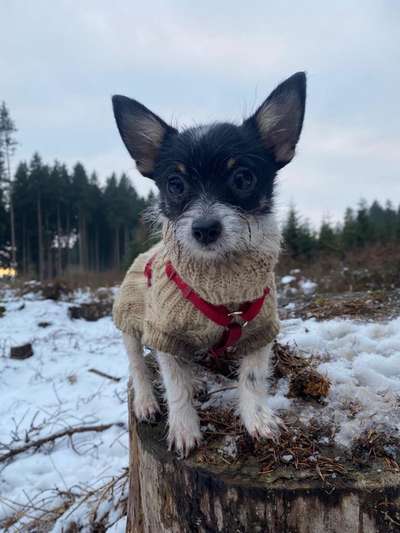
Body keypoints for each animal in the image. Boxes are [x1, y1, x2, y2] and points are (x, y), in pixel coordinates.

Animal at [111, 69, 306, 454]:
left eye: (243, 178)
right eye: (175, 184)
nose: (204, 229)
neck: (221, 277)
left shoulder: (259, 330)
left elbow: (252, 377)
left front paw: (257, 419)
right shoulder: (164, 332)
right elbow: (175, 386)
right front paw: (185, 429)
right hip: (129, 322)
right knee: (138, 366)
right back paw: (146, 401)